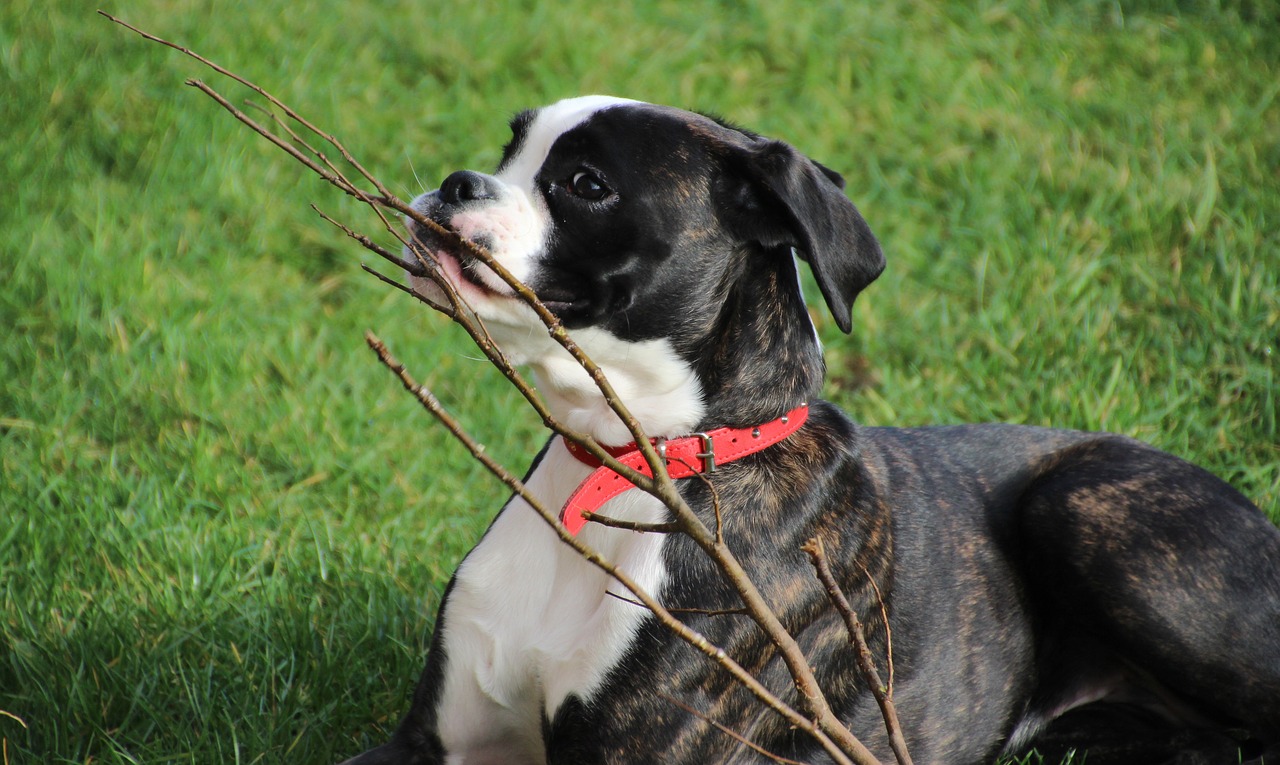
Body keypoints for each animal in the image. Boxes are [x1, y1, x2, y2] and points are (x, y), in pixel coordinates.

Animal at [340, 97, 1280, 765]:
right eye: (508, 152)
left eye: (586, 184)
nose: (459, 181)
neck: (626, 458)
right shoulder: (429, 744)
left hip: (1085, 508)